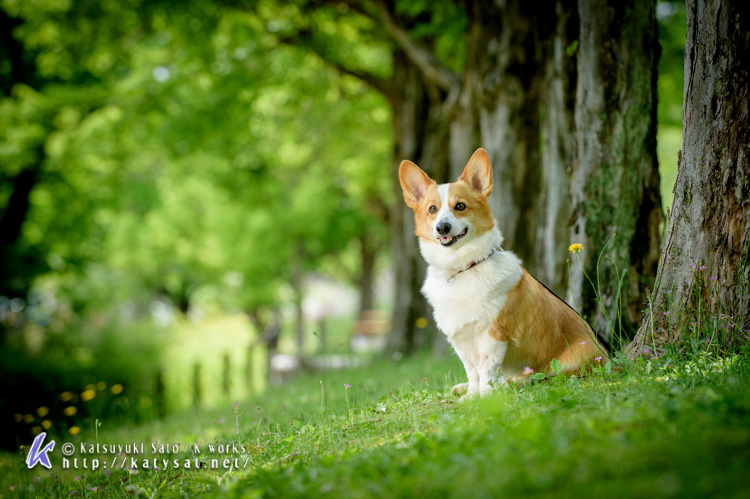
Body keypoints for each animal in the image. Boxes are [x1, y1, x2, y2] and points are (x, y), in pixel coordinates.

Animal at [400, 148, 612, 398]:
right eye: (432, 209)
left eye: (460, 206)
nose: (442, 228)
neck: (462, 267)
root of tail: (610, 358)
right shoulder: (462, 342)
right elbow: (472, 372)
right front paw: (471, 397)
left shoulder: (493, 335)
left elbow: (486, 371)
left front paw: (486, 398)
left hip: (566, 366)